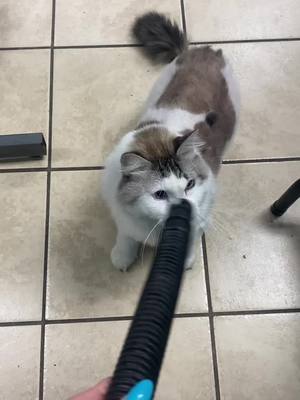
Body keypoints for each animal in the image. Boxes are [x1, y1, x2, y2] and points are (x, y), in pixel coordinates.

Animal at [102, 11, 239, 272]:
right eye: (160, 195)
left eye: (190, 185)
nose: (184, 208)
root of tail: (205, 51)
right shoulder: (123, 216)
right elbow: (126, 237)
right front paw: (122, 257)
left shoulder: (201, 215)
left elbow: (191, 238)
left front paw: (184, 261)